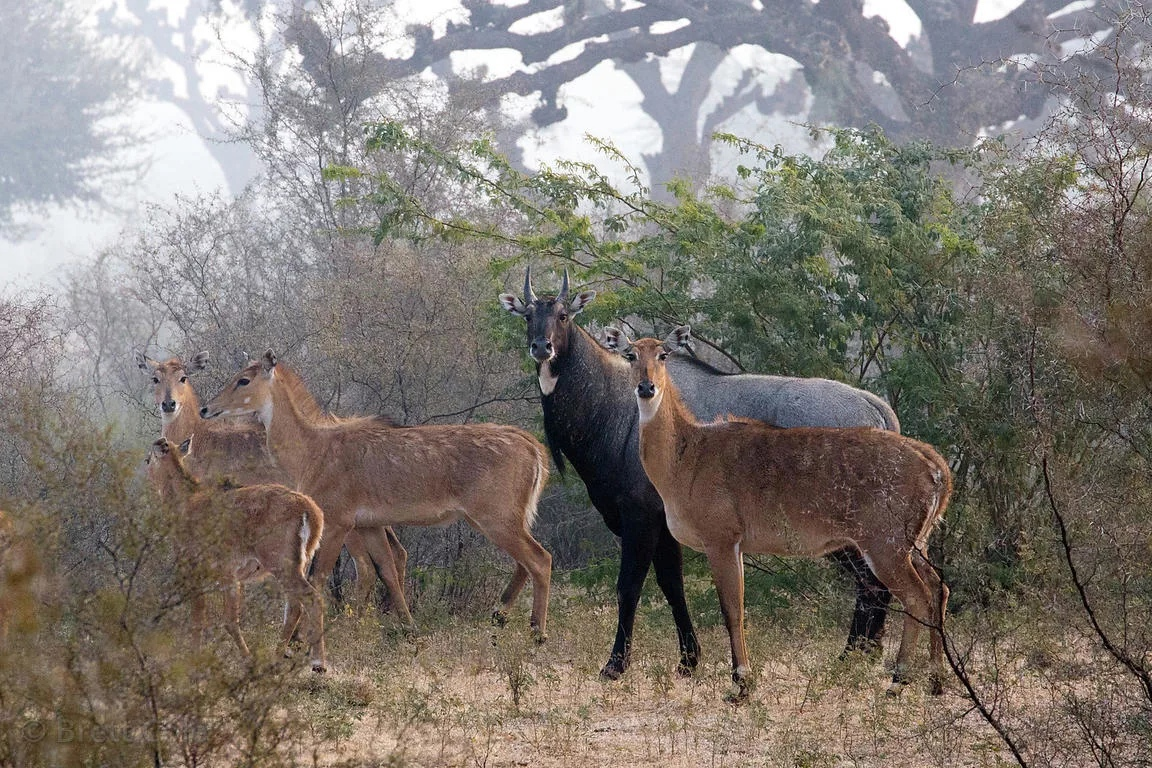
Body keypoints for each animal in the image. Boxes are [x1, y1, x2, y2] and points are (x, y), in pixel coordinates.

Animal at [146, 437, 329, 672]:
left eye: (149, 458)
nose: (147, 470)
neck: (184, 502)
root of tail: (311, 513)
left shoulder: (198, 566)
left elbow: (208, 618)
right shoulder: (231, 575)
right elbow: (221, 618)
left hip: (281, 562)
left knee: (310, 598)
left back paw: (317, 663)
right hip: (302, 561)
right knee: (295, 606)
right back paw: (281, 656)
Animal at [608, 327, 949, 700]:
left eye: (663, 354)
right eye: (630, 354)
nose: (646, 388)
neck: (687, 453)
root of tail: (935, 465)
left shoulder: (721, 539)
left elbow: (732, 609)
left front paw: (741, 683)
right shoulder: (737, 546)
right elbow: (738, 606)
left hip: (885, 546)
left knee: (916, 597)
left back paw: (899, 680)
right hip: (915, 544)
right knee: (938, 588)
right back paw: (936, 680)